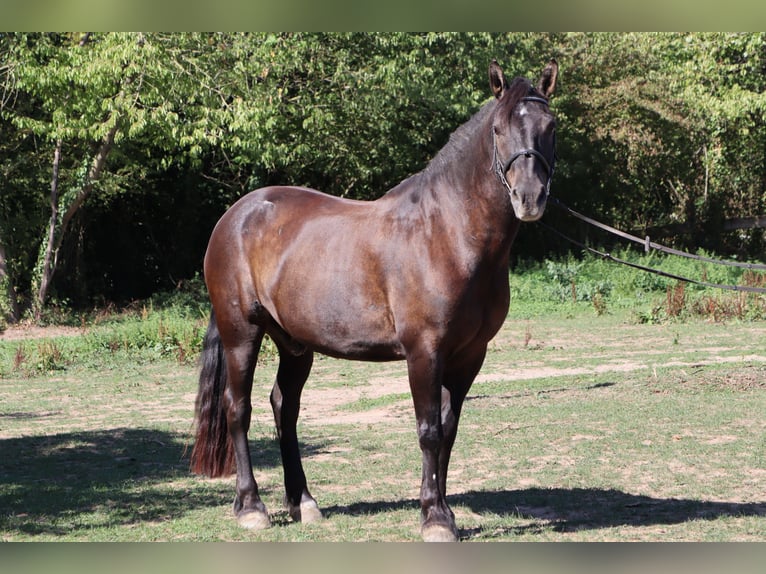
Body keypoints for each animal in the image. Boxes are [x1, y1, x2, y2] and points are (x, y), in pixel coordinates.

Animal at [190, 58, 558, 542]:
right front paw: (435, 517)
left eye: (550, 127)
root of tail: (234, 217)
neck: (447, 232)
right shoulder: (424, 352)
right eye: (498, 129)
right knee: (238, 410)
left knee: (284, 408)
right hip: (242, 335)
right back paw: (251, 507)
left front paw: (442, 510)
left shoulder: (468, 356)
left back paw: (303, 502)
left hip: (294, 344)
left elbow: (449, 429)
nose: (529, 198)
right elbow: (428, 430)